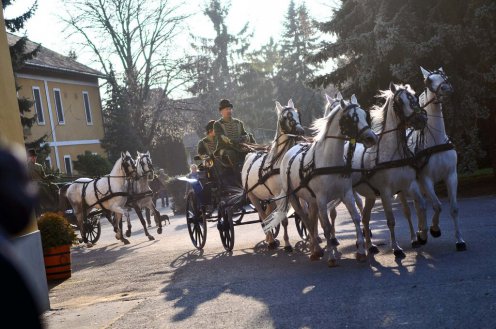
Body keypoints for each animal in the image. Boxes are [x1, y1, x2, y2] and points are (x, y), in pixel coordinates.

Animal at [241, 98, 306, 250]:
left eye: (297, 113)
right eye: (286, 117)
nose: (301, 131)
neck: (281, 162)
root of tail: (249, 155)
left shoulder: (290, 192)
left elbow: (302, 213)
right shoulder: (279, 194)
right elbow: (283, 219)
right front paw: (287, 244)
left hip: (269, 198)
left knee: (266, 215)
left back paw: (269, 238)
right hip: (253, 196)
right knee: (263, 216)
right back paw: (270, 241)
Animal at [350, 81, 428, 256]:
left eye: (414, 97)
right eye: (399, 102)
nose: (421, 119)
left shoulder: (407, 186)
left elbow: (416, 208)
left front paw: (420, 235)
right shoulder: (385, 192)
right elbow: (391, 220)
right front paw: (396, 248)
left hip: (370, 196)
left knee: (365, 217)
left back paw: (370, 245)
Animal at [398, 67, 466, 251]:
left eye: (444, 76)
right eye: (428, 81)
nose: (446, 88)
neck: (436, 141)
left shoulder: (451, 176)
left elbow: (454, 208)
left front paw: (459, 240)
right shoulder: (426, 179)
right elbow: (437, 206)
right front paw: (434, 229)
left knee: (419, 207)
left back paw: (421, 231)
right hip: (404, 189)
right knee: (409, 211)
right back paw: (416, 237)